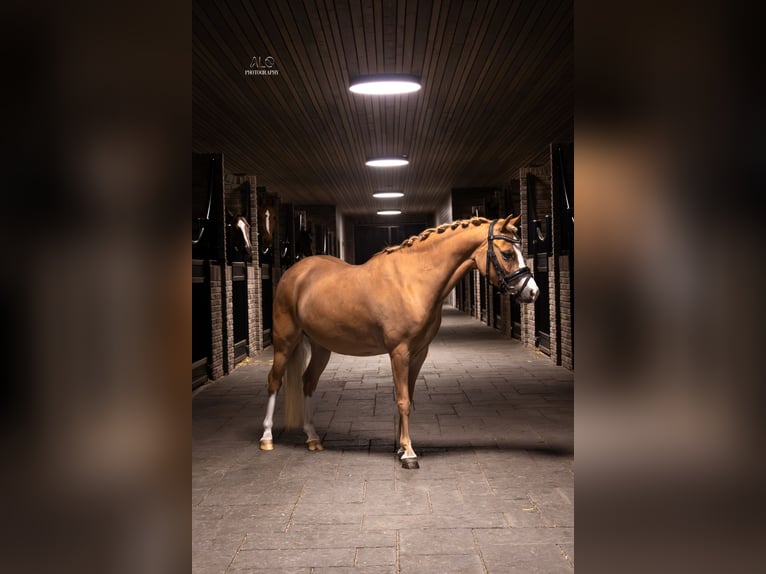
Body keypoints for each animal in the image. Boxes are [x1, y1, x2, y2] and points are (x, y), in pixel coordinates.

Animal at [260, 214, 540, 470]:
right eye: (507, 254)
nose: (533, 291)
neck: (413, 281)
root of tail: (294, 273)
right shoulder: (399, 352)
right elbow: (403, 400)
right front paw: (409, 454)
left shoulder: (418, 353)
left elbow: (408, 397)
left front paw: (401, 446)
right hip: (285, 340)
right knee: (274, 380)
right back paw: (267, 438)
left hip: (321, 346)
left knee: (308, 382)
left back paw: (313, 438)